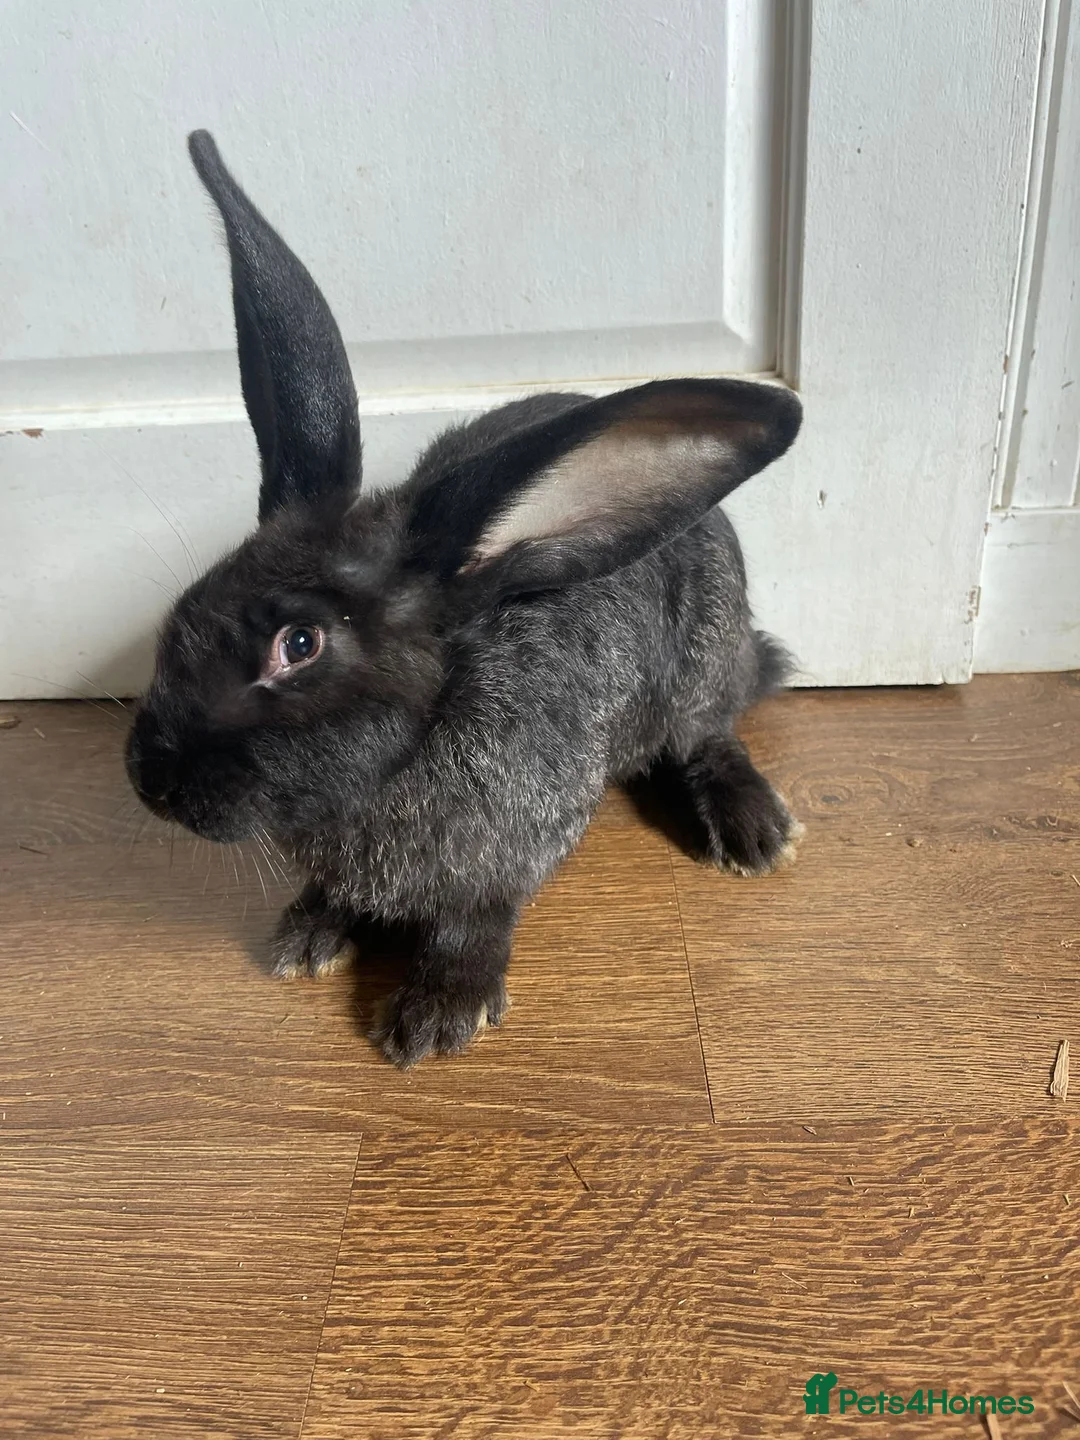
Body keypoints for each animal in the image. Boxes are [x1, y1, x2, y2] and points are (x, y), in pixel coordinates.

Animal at [125, 130, 803, 1068]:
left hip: (702, 658)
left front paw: (439, 1015)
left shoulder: (512, 848)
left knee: (709, 734)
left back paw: (753, 829)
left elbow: (473, 918)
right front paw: (306, 937)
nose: (147, 776)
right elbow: (339, 896)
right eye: (192, 602)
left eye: (299, 644)